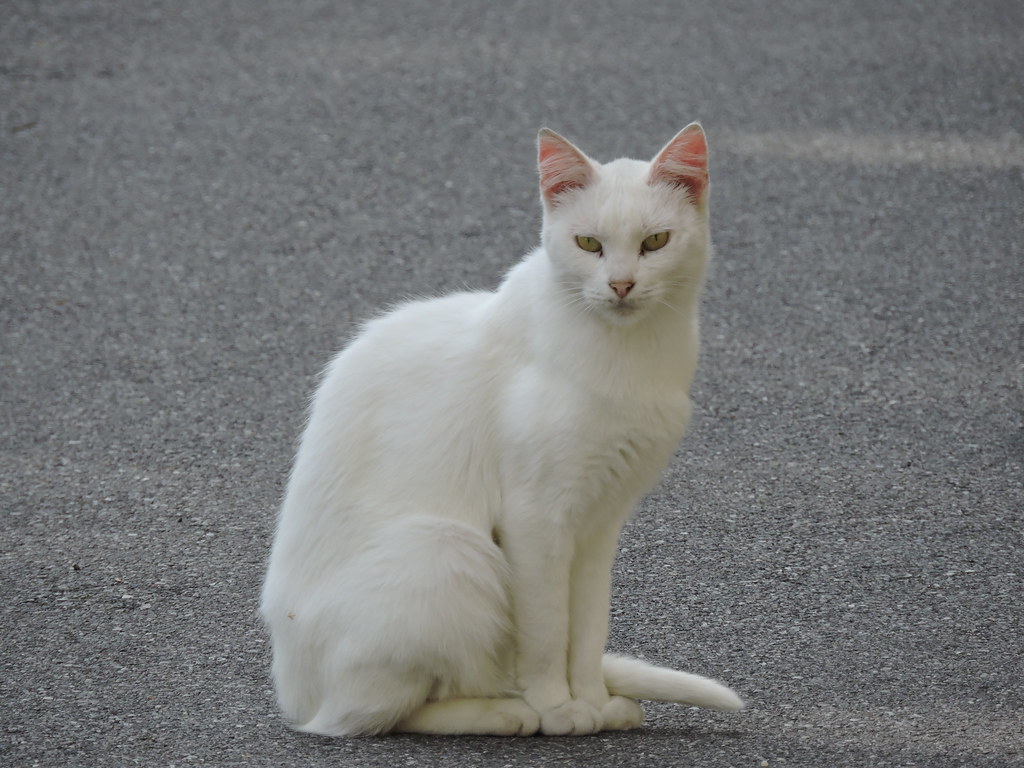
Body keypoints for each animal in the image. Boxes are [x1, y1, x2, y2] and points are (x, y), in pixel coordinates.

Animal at [260, 123, 745, 737]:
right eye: (589, 244)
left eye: (655, 241)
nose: (621, 285)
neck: (629, 357)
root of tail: (292, 696)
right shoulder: (536, 518)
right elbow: (547, 630)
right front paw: (559, 708)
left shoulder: (600, 522)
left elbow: (588, 627)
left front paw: (591, 700)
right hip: (446, 549)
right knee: (371, 715)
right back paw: (508, 711)